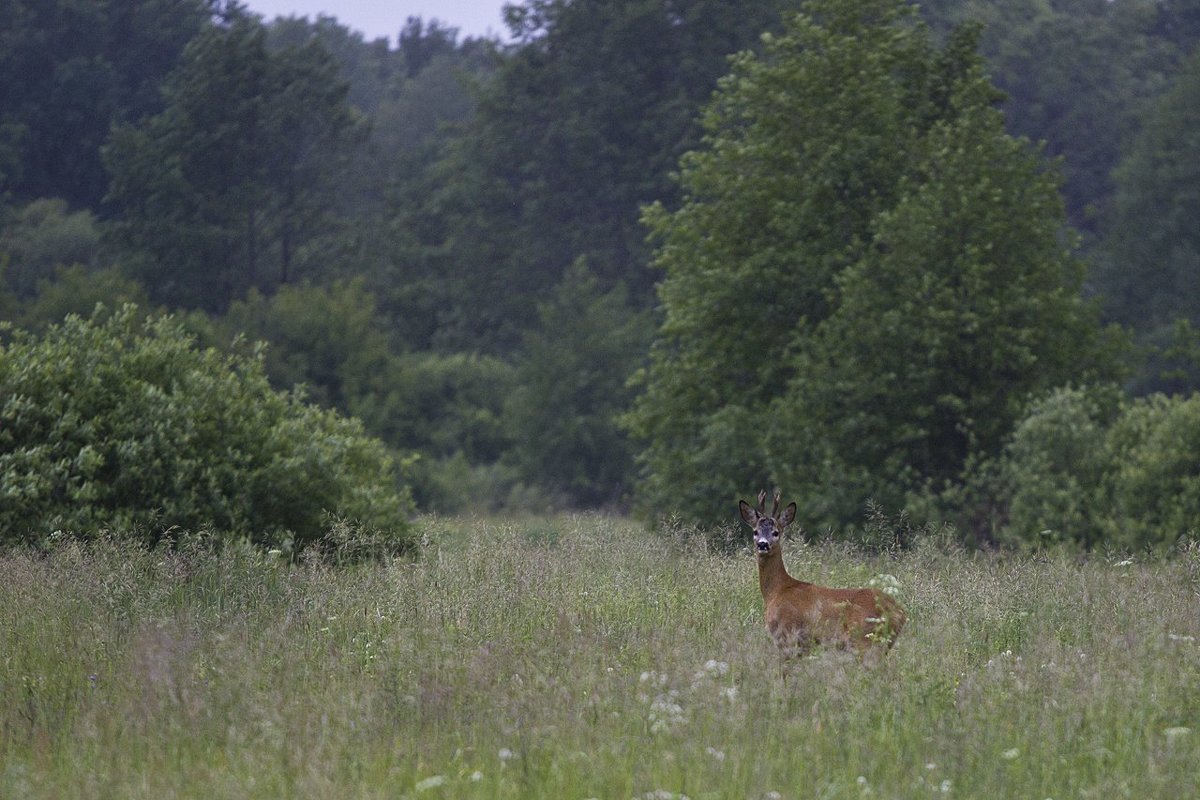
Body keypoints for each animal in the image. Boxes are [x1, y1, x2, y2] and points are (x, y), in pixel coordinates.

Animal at [734, 491, 902, 662]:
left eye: (776, 532)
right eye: (755, 531)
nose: (763, 544)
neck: (777, 591)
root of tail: (899, 612)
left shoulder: (787, 635)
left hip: (864, 639)